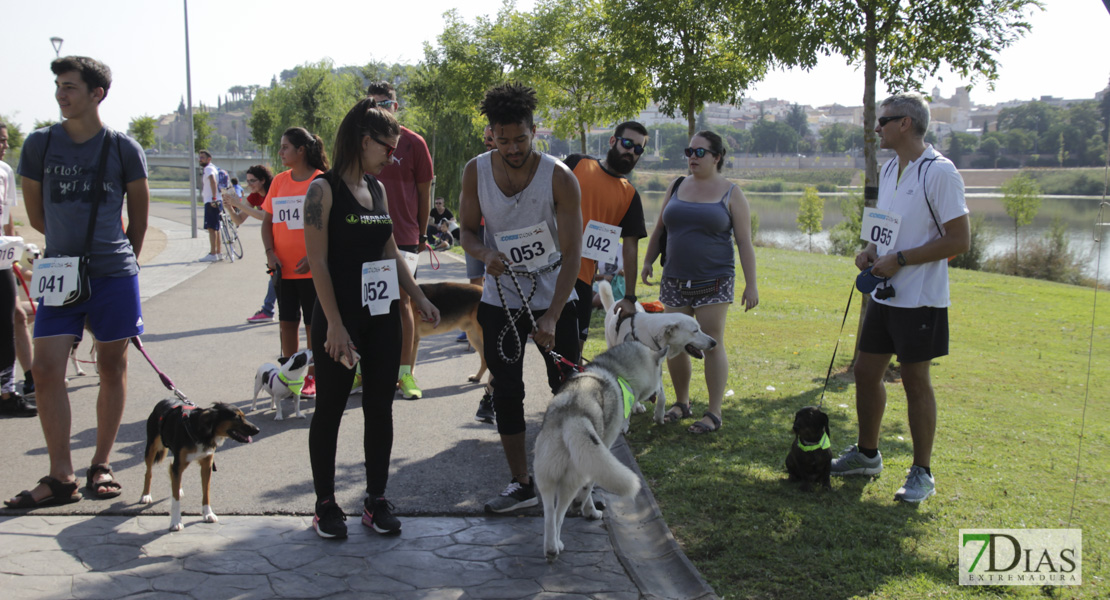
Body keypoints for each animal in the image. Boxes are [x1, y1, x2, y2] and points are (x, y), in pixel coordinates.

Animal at [138, 399, 257, 530]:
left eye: (244, 416)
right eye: (237, 417)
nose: (257, 430)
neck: (201, 432)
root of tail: (164, 400)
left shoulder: (206, 465)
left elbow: (206, 492)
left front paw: (208, 514)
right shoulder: (179, 463)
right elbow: (175, 500)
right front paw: (175, 522)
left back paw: (177, 487)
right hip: (151, 447)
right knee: (148, 472)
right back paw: (146, 495)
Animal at [532, 341, 661, 561]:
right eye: (660, 372)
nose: (659, 392)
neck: (615, 370)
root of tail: (572, 414)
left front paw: (588, 511)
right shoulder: (602, 450)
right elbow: (589, 490)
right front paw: (589, 511)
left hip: (546, 479)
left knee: (549, 515)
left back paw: (550, 547)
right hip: (570, 482)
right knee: (559, 514)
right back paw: (557, 545)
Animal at [599, 279, 719, 423]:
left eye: (699, 329)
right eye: (695, 331)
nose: (714, 342)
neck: (649, 335)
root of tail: (616, 302)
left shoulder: (657, 366)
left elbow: (661, 395)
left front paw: (659, 415)